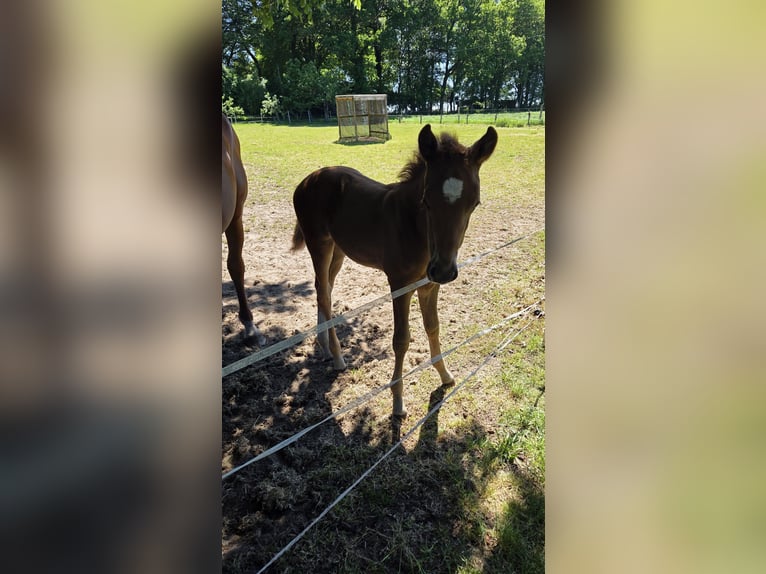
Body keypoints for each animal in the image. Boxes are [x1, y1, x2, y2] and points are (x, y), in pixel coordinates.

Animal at [291, 124, 497, 420]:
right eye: (426, 200)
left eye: (475, 203)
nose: (444, 270)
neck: (413, 227)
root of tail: (308, 180)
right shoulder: (399, 285)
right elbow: (401, 340)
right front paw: (398, 403)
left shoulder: (429, 285)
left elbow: (433, 327)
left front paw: (445, 375)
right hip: (318, 243)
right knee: (324, 295)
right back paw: (339, 357)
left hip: (338, 249)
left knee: (324, 288)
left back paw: (325, 346)